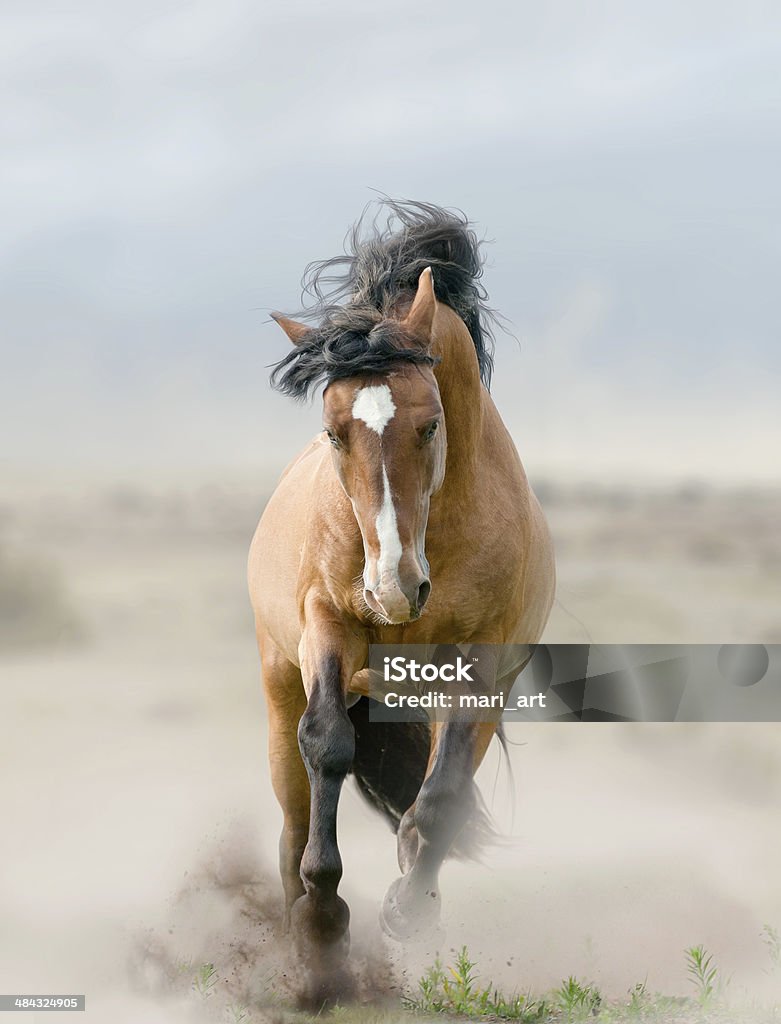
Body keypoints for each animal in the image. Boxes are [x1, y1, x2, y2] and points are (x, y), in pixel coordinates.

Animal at [247, 197, 552, 999]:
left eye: (429, 423)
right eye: (333, 432)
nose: (392, 588)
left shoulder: (478, 659)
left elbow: (440, 800)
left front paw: (406, 913)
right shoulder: (326, 628)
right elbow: (328, 745)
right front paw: (324, 926)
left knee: (437, 800)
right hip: (278, 683)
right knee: (292, 817)